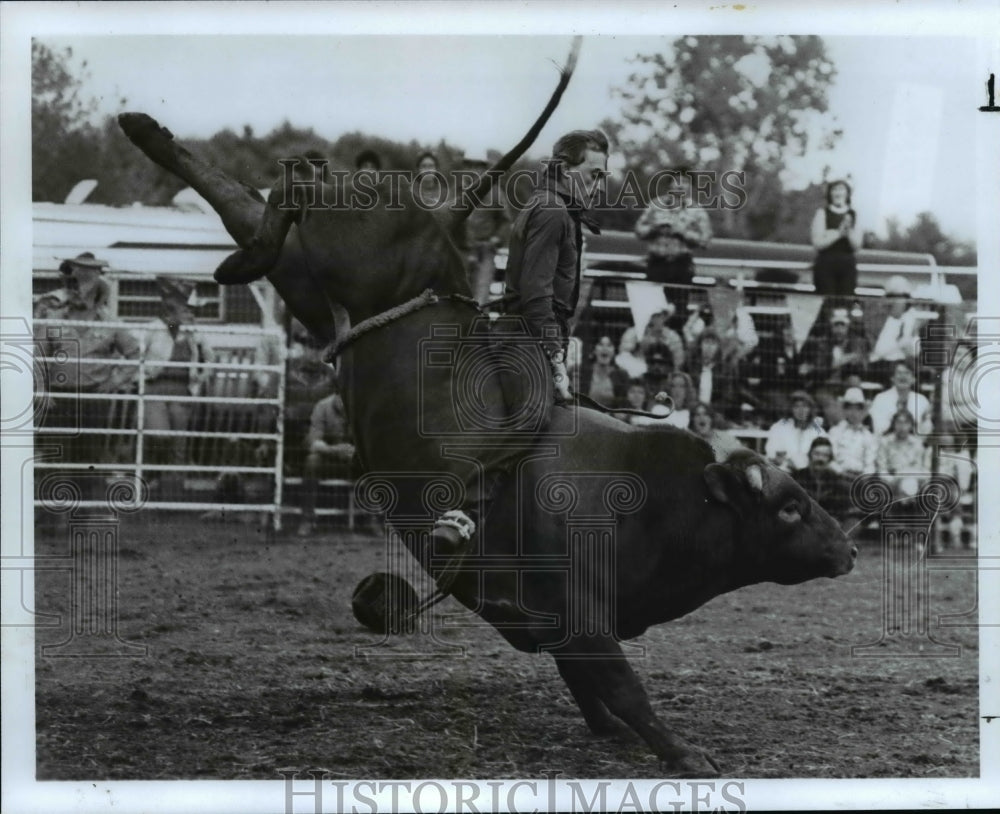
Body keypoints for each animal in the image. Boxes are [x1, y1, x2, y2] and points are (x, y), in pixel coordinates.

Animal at [115, 38, 852, 776]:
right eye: (790, 506)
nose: (846, 549)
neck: (656, 493)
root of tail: (441, 231)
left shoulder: (557, 625)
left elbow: (588, 685)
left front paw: (612, 732)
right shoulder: (581, 614)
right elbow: (622, 685)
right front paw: (687, 755)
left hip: (314, 286)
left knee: (259, 211)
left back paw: (171, 165)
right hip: (349, 242)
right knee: (300, 182)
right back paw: (191, 178)